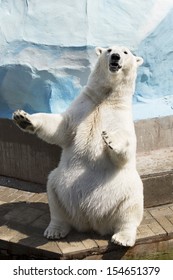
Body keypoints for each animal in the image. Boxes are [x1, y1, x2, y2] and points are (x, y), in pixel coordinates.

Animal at [12, 44, 143, 246]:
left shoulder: (121, 117)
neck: (105, 98)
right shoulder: (83, 106)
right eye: (109, 49)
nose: (115, 57)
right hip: (60, 186)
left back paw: (122, 237)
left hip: (124, 191)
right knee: (54, 197)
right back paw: (55, 230)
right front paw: (23, 118)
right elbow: (61, 127)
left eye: (126, 52)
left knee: (130, 208)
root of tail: (92, 222)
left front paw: (110, 138)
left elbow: (126, 152)